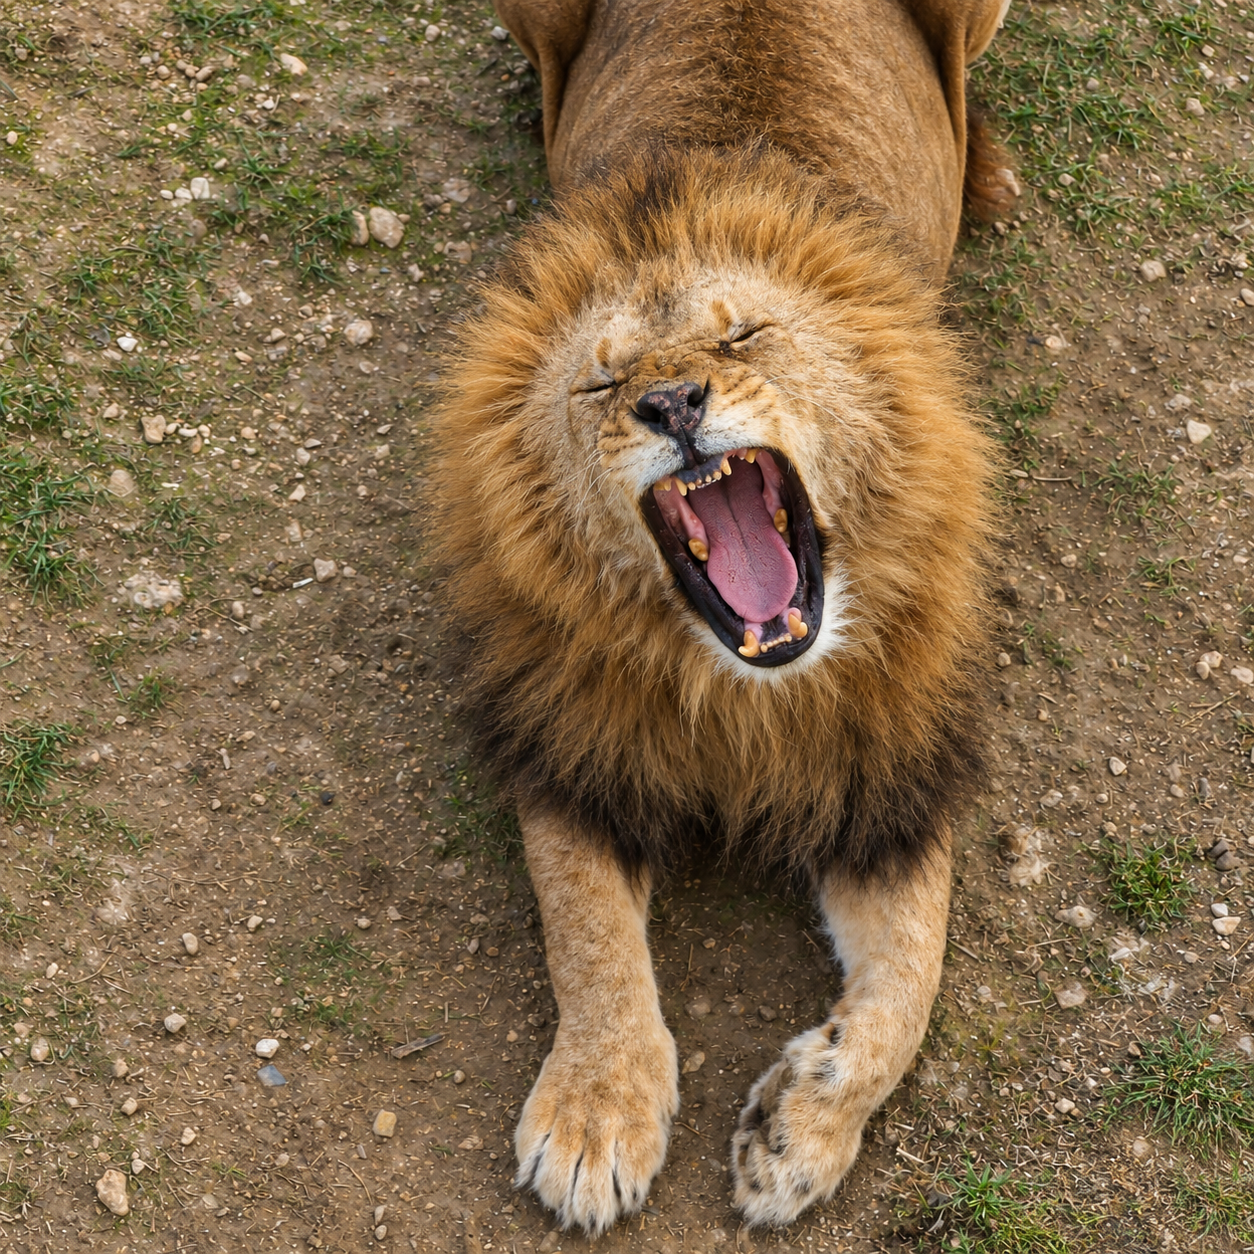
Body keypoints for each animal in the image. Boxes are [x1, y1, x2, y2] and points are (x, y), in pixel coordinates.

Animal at [433, 0, 1014, 1233]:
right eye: (600, 386)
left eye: (743, 337)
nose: (672, 402)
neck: (748, 692)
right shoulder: (572, 745)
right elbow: (588, 936)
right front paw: (594, 1116)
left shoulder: (892, 776)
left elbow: (911, 984)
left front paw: (800, 1133)